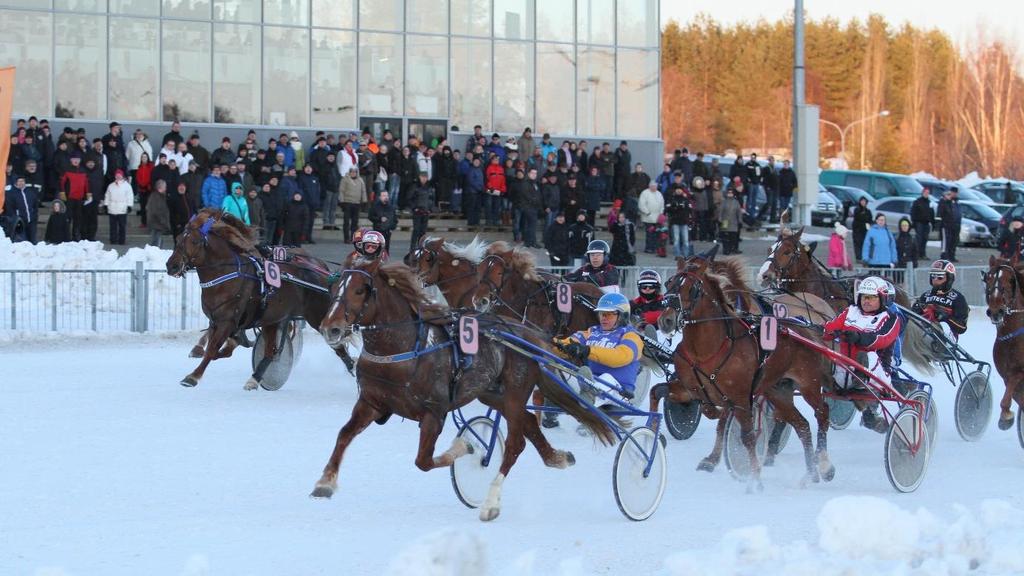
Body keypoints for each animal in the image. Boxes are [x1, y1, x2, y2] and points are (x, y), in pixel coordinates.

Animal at [165, 208, 346, 387]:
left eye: (195, 242)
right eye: (179, 238)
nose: (171, 265)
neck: (226, 276)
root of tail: (321, 267)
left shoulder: (227, 321)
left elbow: (213, 349)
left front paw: (193, 376)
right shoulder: (216, 319)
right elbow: (217, 343)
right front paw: (202, 350)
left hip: (316, 314)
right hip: (273, 318)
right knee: (271, 350)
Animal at [315, 260, 610, 520]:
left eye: (359, 290)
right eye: (335, 288)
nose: (330, 328)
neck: (403, 348)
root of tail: (525, 334)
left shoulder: (434, 413)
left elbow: (424, 461)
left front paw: (465, 446)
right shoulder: (372, 403)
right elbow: (344, 434)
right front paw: (325, 482)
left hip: (515, 391)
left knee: (516, 444)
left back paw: (491, 503)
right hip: (492, 393)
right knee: (527, 421)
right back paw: (556, 457)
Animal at [663, 243, 839, 485]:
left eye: (692, 288)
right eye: (669, 283)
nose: (666, 319)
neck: (706, 348)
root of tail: (804, 329)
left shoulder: (739, 395)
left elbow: (745, 434)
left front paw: (752, 475)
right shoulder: (693, 386)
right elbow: (702, 406)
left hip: (808, 384)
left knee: (822, 413)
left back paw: (823, 465)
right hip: (778, 390)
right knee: (802, 425)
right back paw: (810, 472)